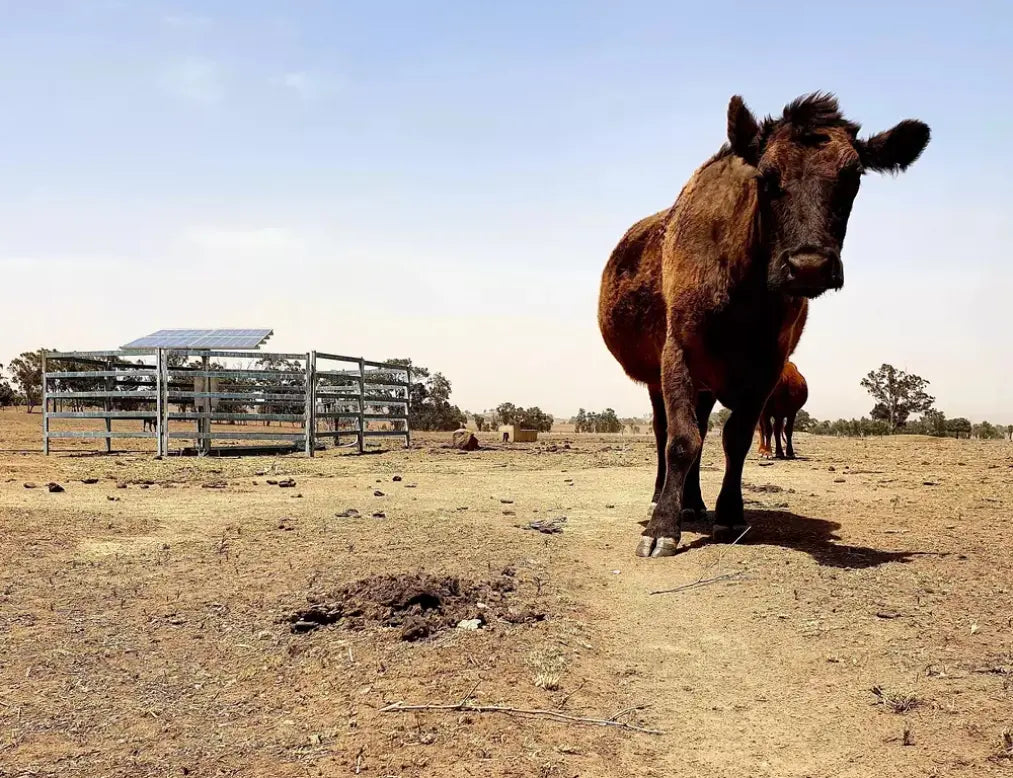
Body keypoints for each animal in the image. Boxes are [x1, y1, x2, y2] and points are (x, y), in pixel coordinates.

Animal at [595, 91, 927, 555]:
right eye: (768, 177)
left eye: (853, 177)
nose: (809, 265)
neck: (745, 295)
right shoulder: (677, 354)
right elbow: (680, 441)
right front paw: (661, 528)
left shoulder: (765, 369)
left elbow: (735, 439)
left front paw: (730, 515)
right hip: (659, 379)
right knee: (665, 433)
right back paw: (665, 496)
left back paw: (693, 503)